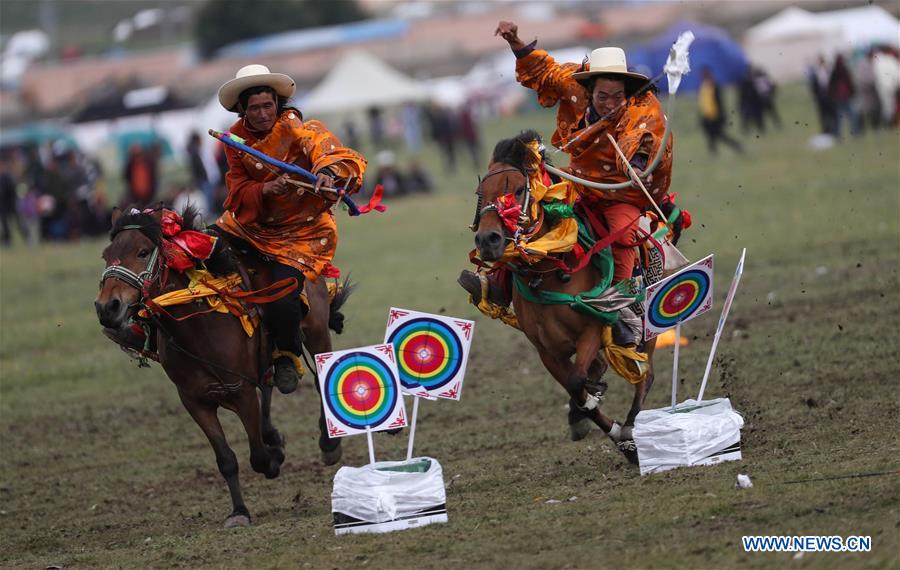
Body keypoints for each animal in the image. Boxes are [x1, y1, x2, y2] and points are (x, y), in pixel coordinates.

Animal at [95, 204, 348, 524]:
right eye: (106, 255)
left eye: (142, 252)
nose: (107, 307)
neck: (197, 328)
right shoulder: (195, 401)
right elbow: (226, 458)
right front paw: (239, 511)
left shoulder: (240, 392)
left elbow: (258, 456)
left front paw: (274, 458)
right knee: (268, 385)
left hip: (315, 331)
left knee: (317, 379)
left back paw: (328, 445)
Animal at [468, 130, 656, 462]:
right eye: (481, 193)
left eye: (519, 190)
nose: (487, 240)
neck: (549, 268)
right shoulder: (547, 350)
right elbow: (575, 388)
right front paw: (588, 416)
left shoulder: (591, 330)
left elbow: (578, 382)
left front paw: (621, 436)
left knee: (645, 374)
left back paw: (632, 425)